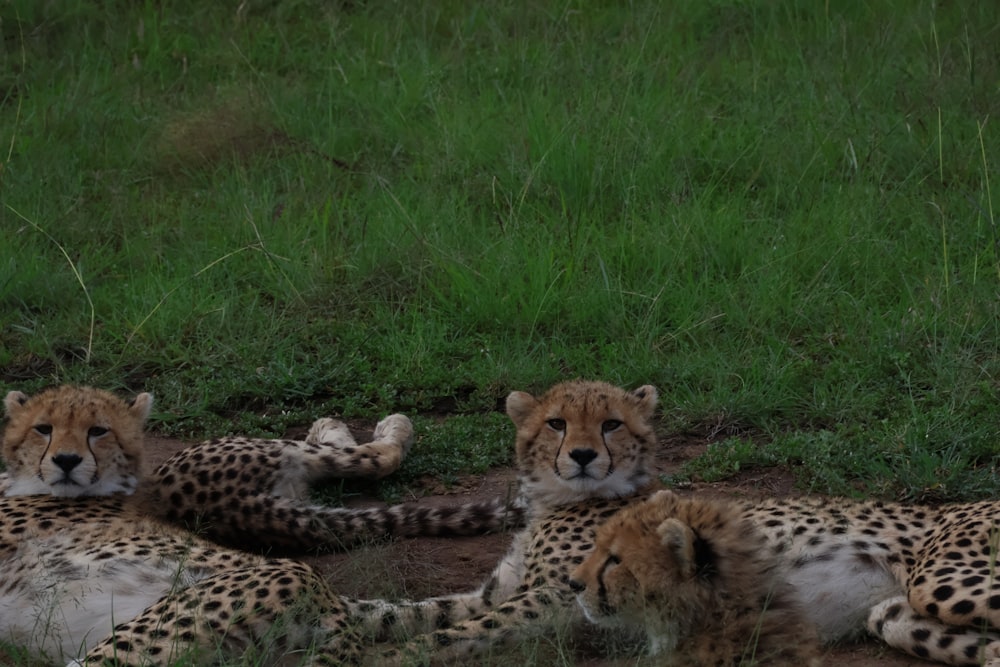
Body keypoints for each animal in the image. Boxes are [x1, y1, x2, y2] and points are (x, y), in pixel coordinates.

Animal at [1, 386, 524, 667]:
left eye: (98, 430)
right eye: (43, 429)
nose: (67, 461)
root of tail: (334, 599)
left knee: (366, 455)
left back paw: (357, 424)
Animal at [356, 384, 660, 664]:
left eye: (611, 424)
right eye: (557, 423)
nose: (583, 454)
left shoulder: (560, 594)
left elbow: (461, 631)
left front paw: (384, 657)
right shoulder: (499, 591)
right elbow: (416, 611)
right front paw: (348, 617)